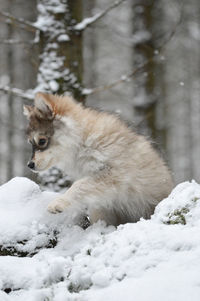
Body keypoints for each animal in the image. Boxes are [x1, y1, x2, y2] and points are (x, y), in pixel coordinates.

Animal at [23, 92, 173, 224]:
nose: (30, 164)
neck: (82, 141)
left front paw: (59, 202)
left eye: (42, 141)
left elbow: (79, 185)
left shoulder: (114, 174)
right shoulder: (103, 199)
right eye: (30, 143)